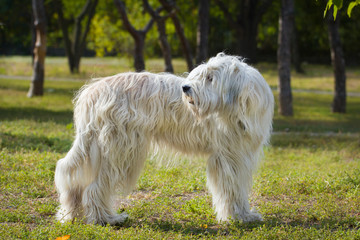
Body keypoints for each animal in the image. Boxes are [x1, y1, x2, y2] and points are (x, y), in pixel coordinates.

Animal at [54, 52, 272, 225]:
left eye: (210, 78)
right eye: (200, 75)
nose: (185, 88)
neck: (240, 104)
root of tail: (92, 92)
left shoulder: (239, 154)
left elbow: (237, 188)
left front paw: (242, 215)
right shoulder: (228, 157)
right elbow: (232, 189)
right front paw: (239, 217)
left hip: (99, 147)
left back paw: (72, 213)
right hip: (121, 149)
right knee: (95, 187)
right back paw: (106, 219)